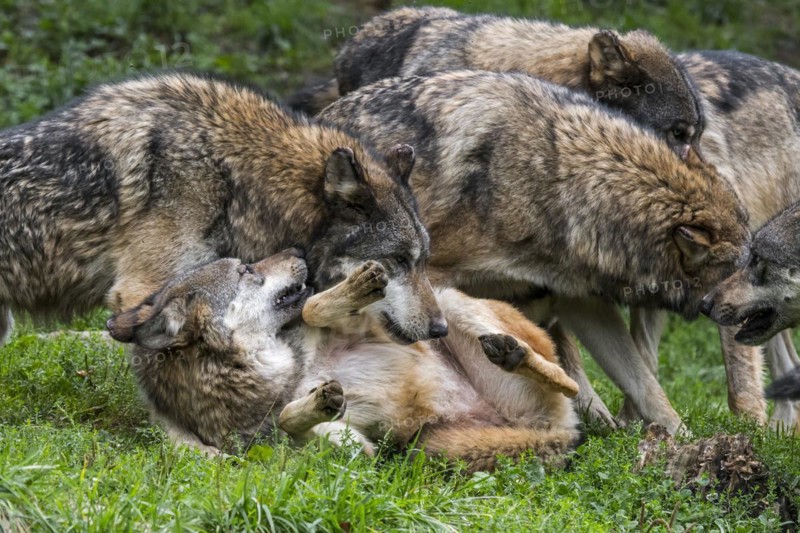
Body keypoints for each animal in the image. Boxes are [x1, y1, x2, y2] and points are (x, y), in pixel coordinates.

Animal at [107, 250, 580, 471]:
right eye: (246, 270)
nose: (298, 250)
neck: (282, 373)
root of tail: (557, 432)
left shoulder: (371, 326)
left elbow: (315, 307)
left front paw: (352, 288)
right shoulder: (354, 450)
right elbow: (289, 422)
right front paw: (315, 404)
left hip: (452, 305)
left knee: (567, 379)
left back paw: (512, 353)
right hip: (432, 444)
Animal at [316, 70, 749, 434]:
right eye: (743, 266)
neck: (556, 181)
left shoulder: (580, 301)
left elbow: (644, 383)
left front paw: (682, 440)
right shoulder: (434, 279)